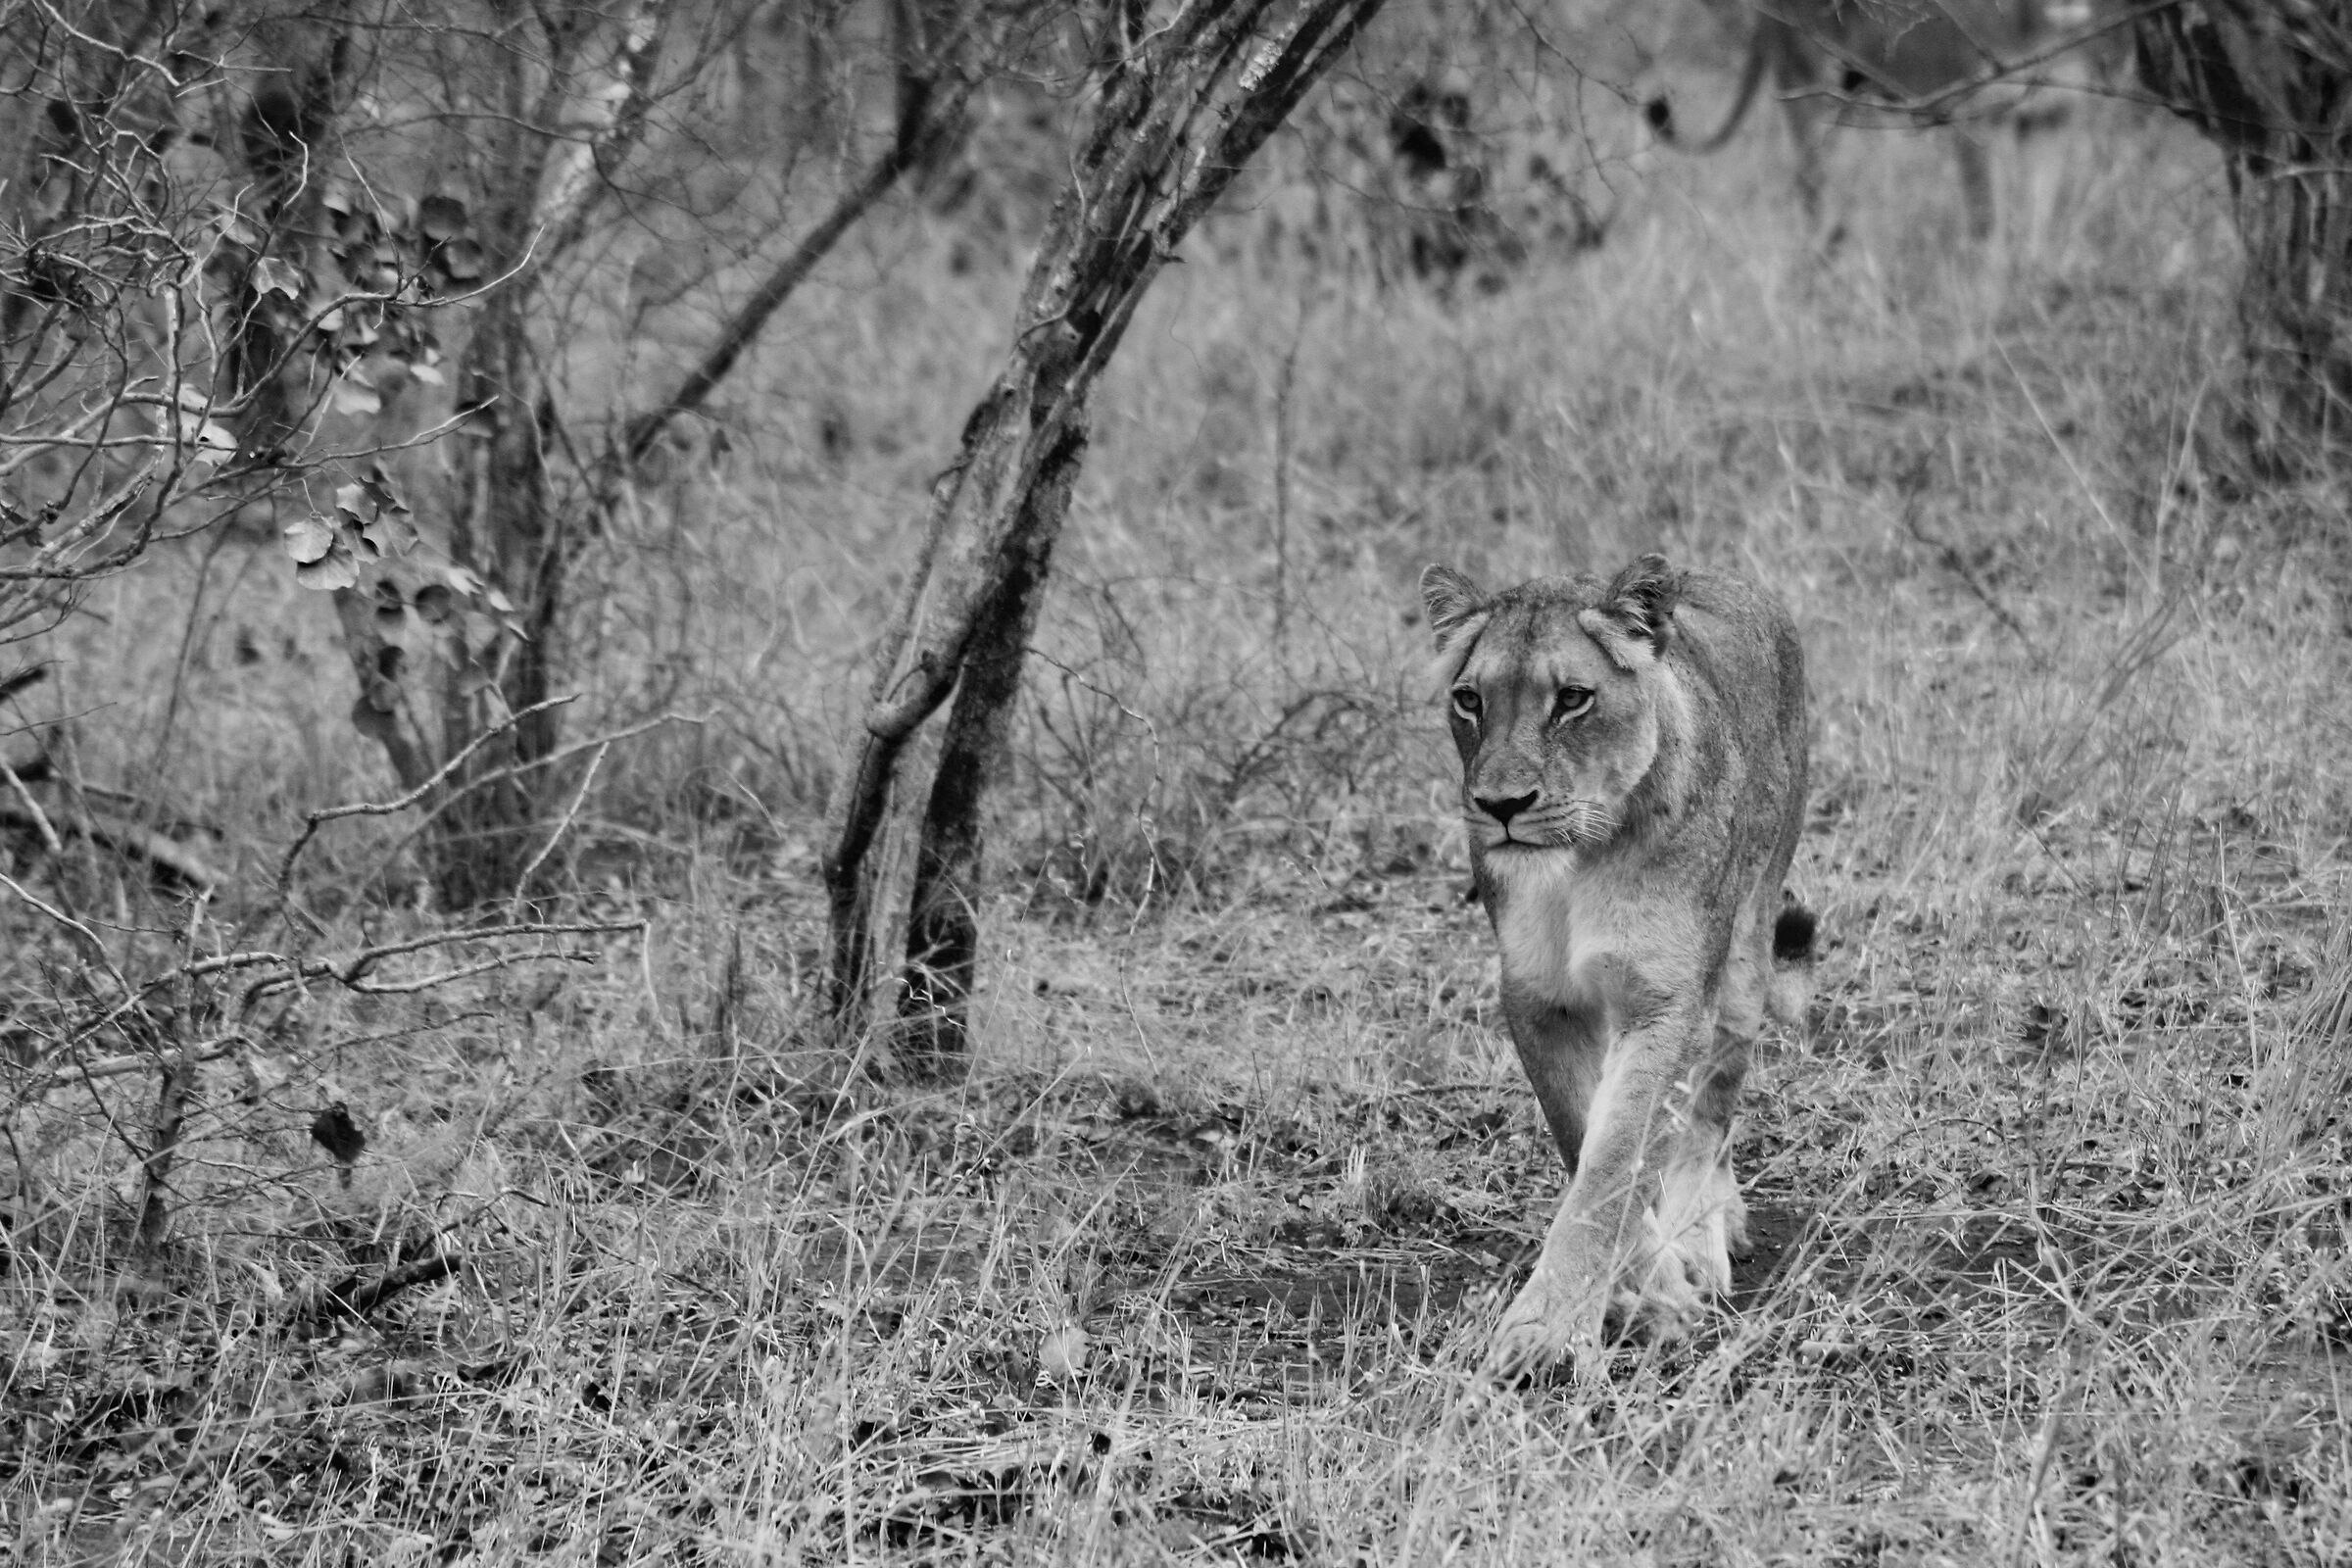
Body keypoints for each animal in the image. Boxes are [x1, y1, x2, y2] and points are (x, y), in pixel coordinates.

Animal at [1419, 555, 1814, 1379]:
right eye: (1469, 699)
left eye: (1572, 698)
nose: (1501, 805)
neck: (1578, 860)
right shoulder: (1537, 997)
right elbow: (1585, 1141)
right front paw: (1648, 1291)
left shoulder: (1667, 999)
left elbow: (1617, 1159)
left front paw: (1547, 1330)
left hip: (1743, 957)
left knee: (1710, 1114)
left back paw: (1703, 1233)